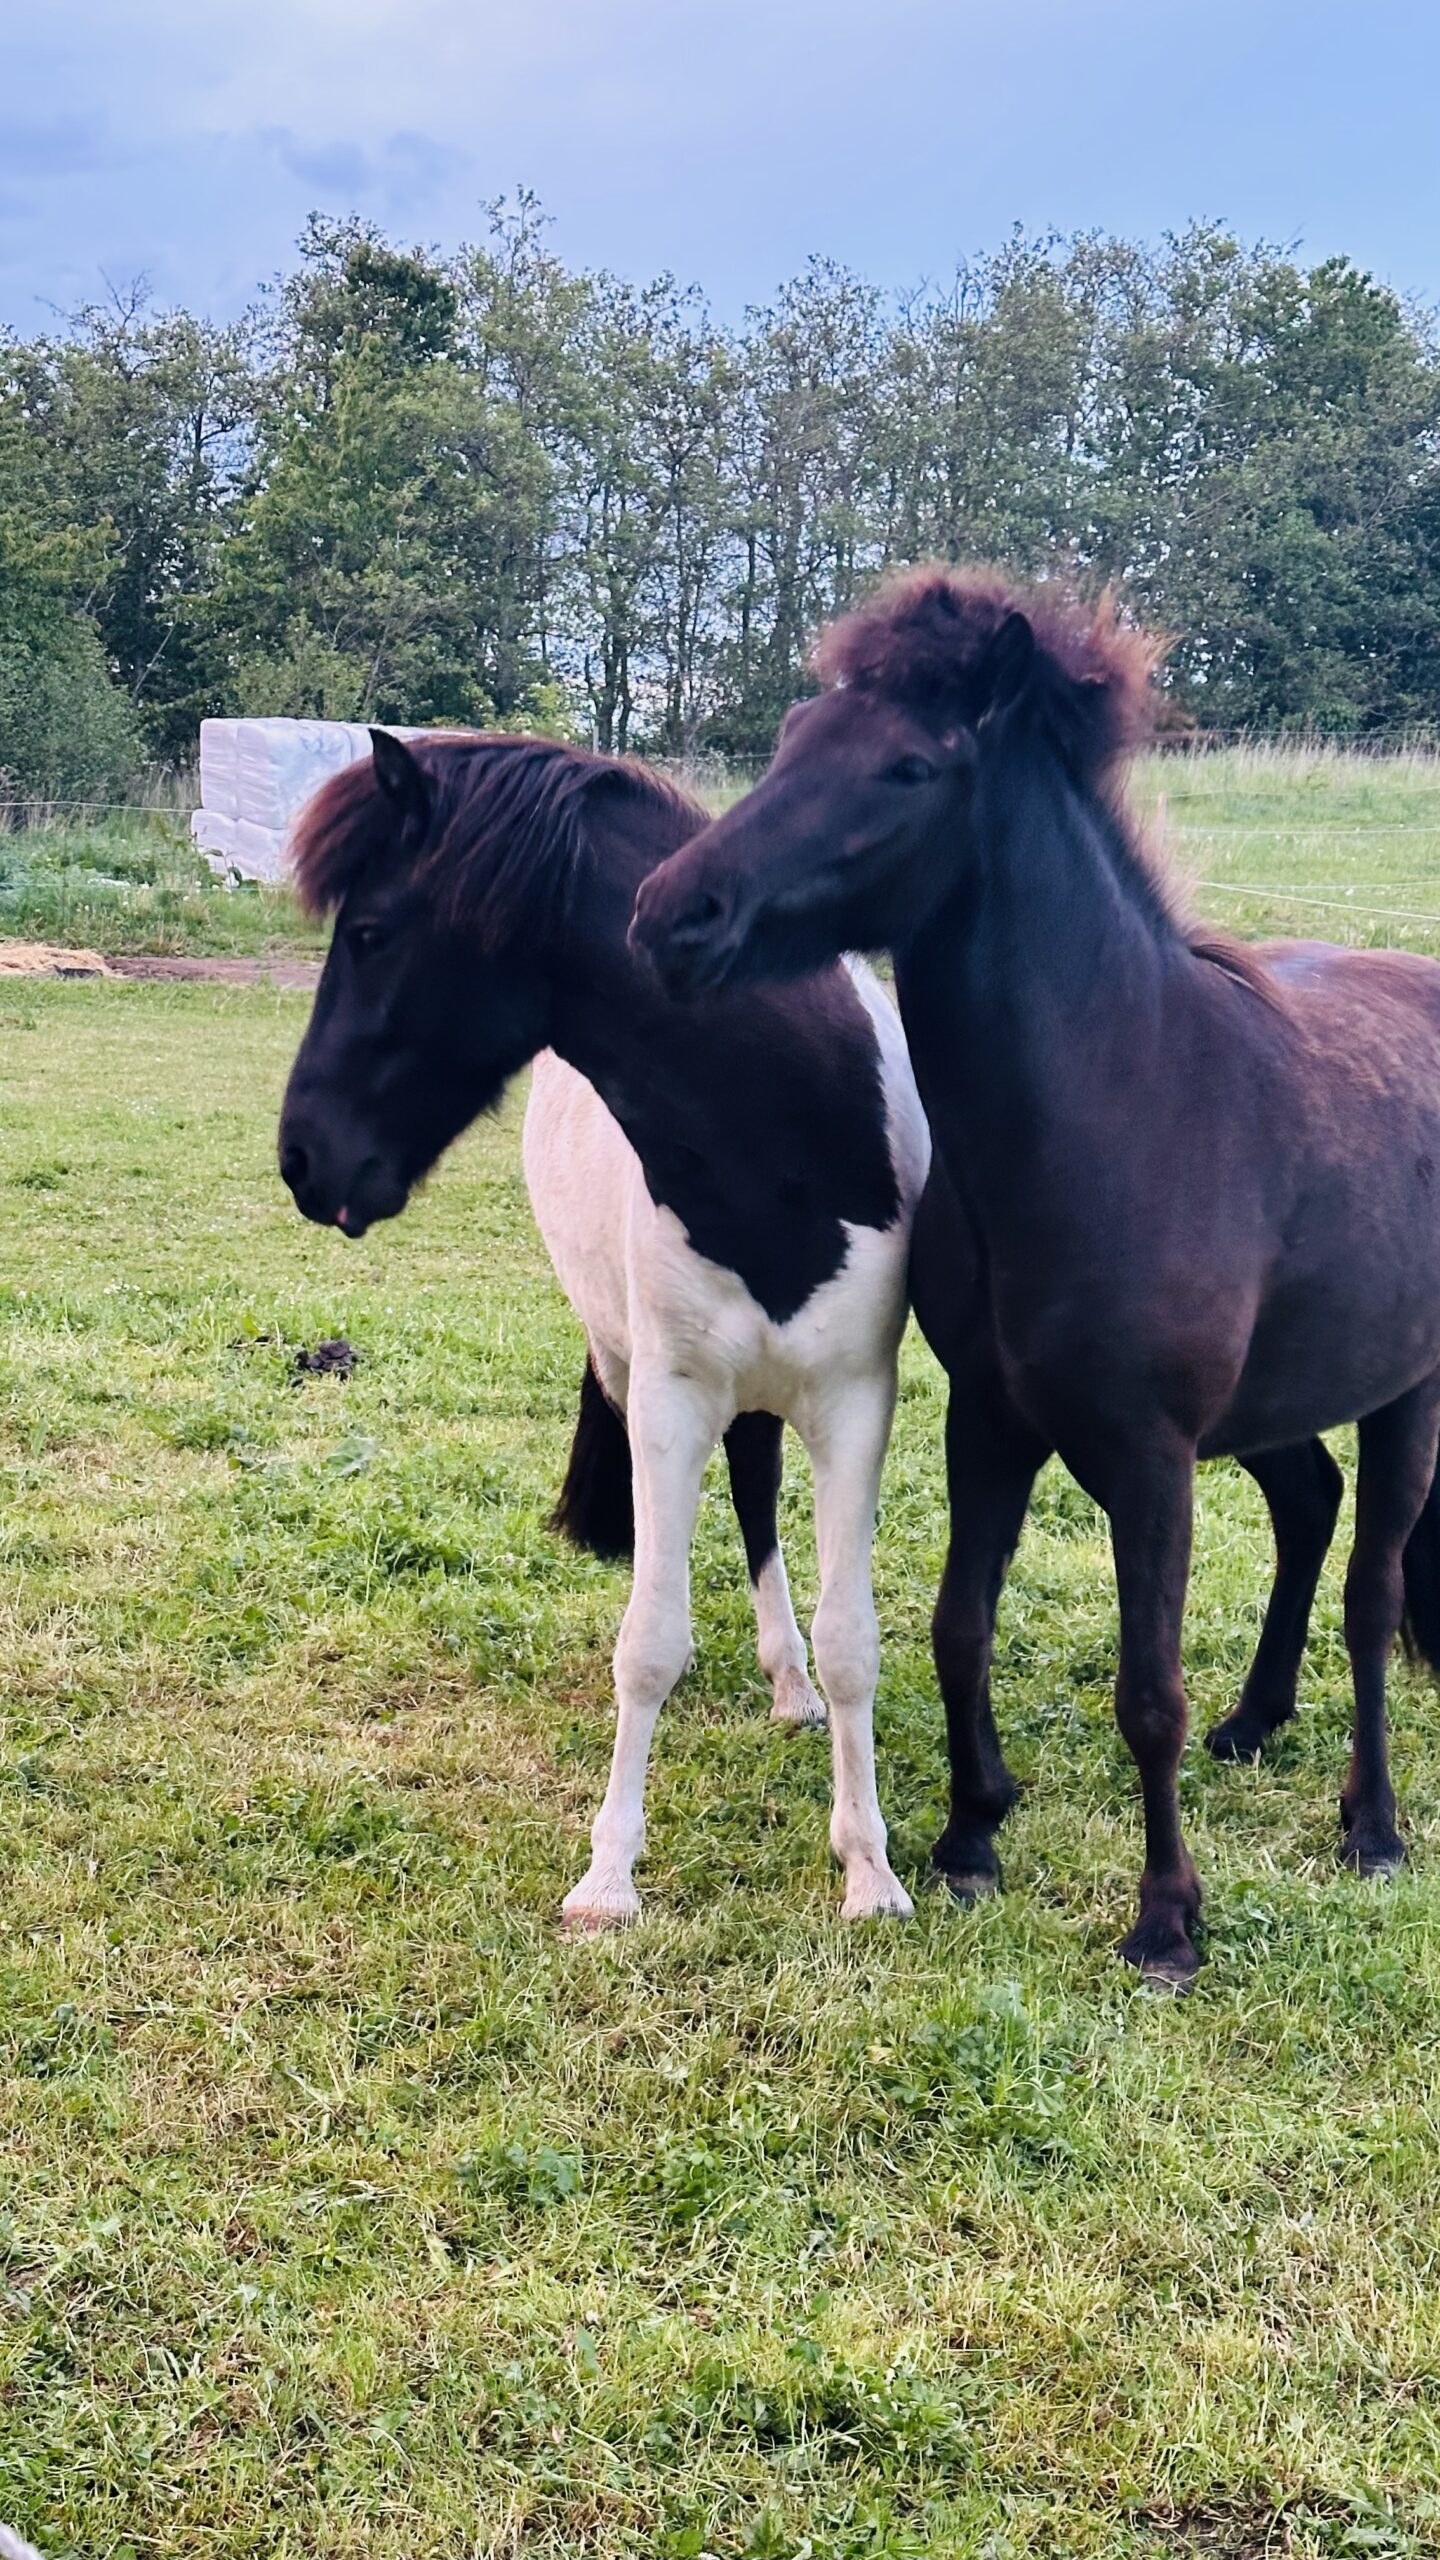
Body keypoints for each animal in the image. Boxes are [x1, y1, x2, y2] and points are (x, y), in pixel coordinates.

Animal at [277, 729, 929, 1929]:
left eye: (371, 932)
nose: (303, 1157)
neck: (782, 1137)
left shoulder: (858, 1401)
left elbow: (854, 1640)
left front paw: (868, 1865)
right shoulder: (670, 1398)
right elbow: (650, 1641)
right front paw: (609, 1875)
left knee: (759, 1493)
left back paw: (788, 1681)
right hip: (636, 1369)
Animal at [630, 566, 1440, 1984]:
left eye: (908, 765)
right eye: (792, 737)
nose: (675, 914)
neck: (1122, 1107)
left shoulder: (1152, 1455)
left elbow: (1148, 1686)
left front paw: (1166, 1919)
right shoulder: (992, 1420)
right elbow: (959, 1625)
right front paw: (968, 1842)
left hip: (1407, 1395)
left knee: (1370, 1587)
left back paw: (1374, 1825)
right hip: (1277, 1405)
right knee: (1309, 1505)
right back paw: (1256, 1723)